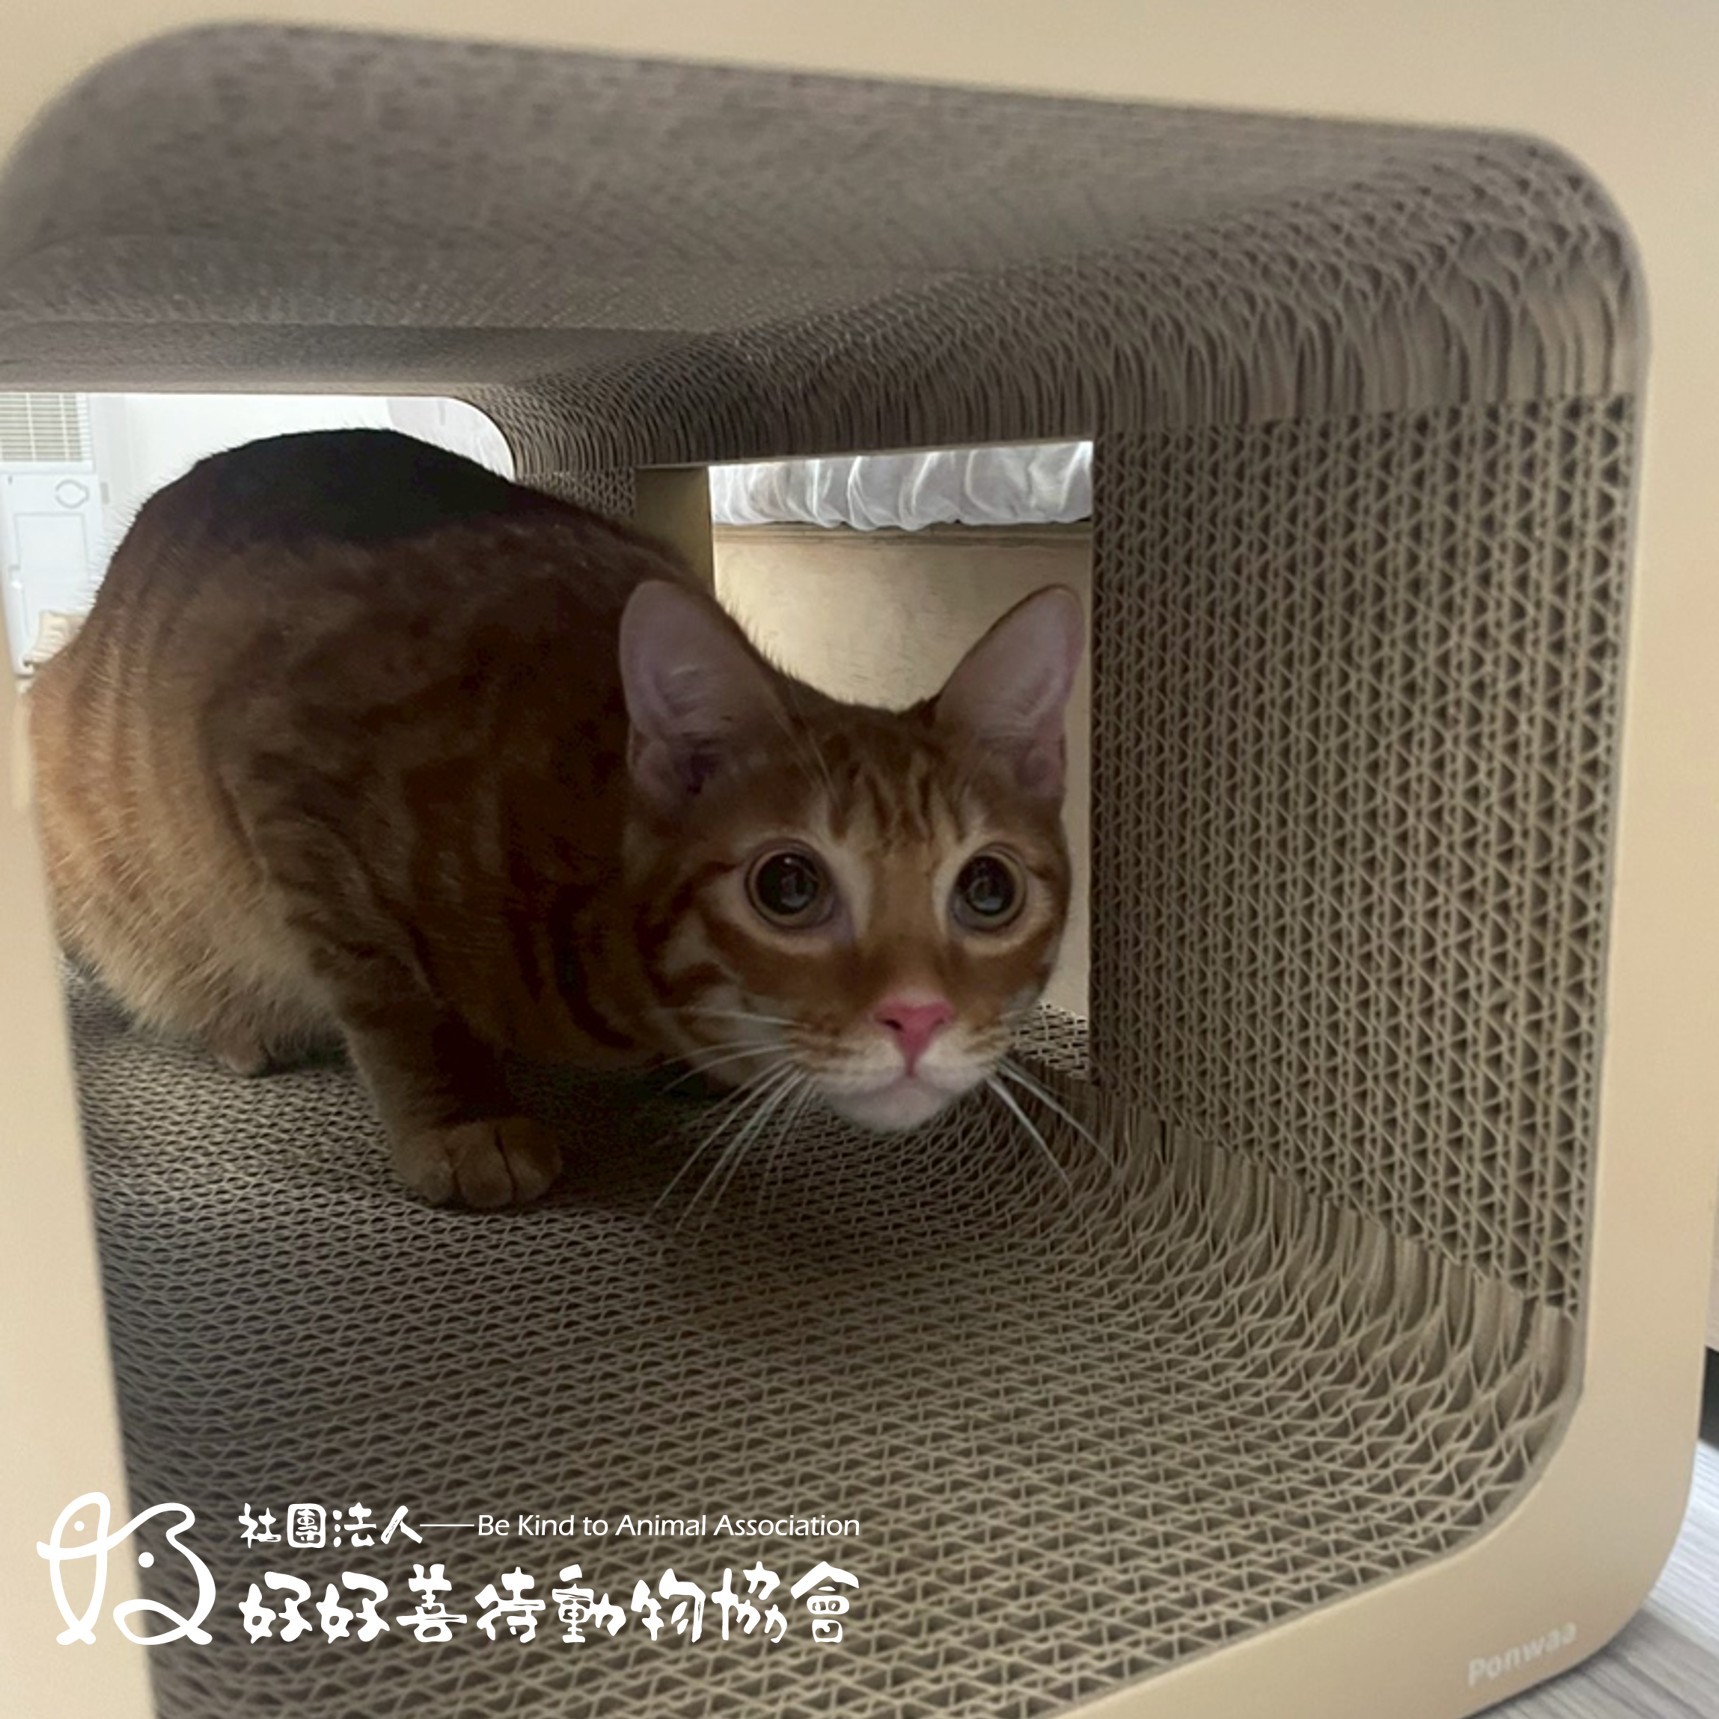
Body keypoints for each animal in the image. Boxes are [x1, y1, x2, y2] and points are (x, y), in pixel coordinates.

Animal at [27, 429, 1084, 1208]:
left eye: (987, 890)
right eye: (788, 885)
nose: (919, 1013)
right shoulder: (281, 771)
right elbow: (396, 1000)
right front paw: (460, 1117)